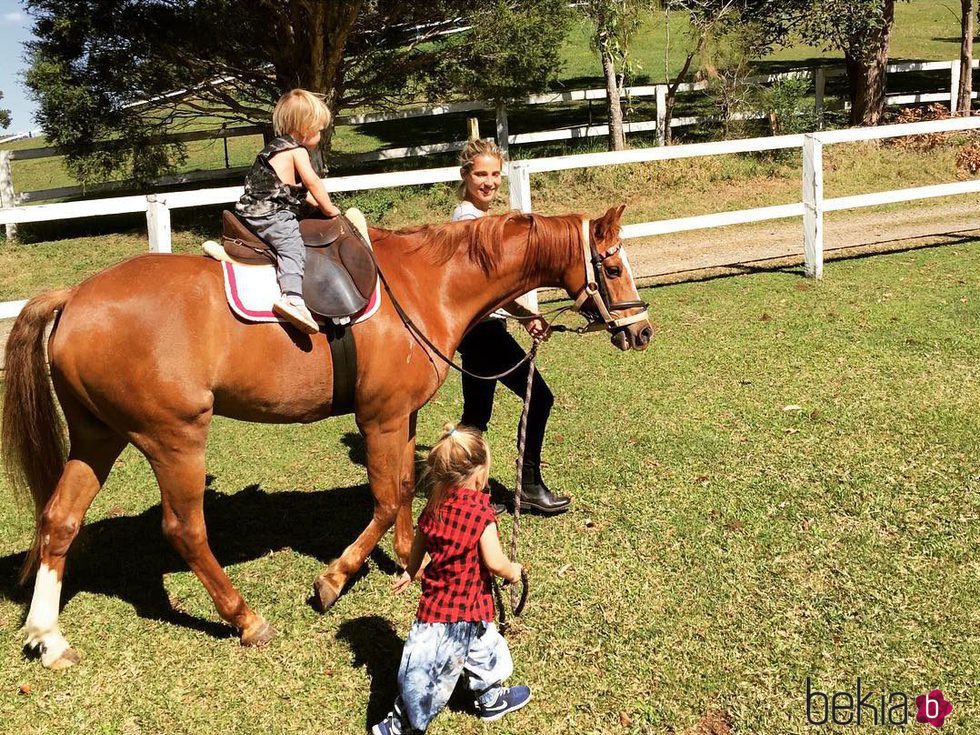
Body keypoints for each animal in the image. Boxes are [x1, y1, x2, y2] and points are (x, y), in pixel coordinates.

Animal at [5, 204, 652, 668]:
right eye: (613, 267)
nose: (641, 331)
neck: (426, 283)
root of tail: (74, 298)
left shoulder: (400, 416)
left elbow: (404, 488)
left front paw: (409, 559)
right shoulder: (380, 418)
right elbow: (386, 498)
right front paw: (334, 580)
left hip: (98, 437)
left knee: (60, 519)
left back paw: (47, 635)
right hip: (174, 439)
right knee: (184, 529)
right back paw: (245, 619)